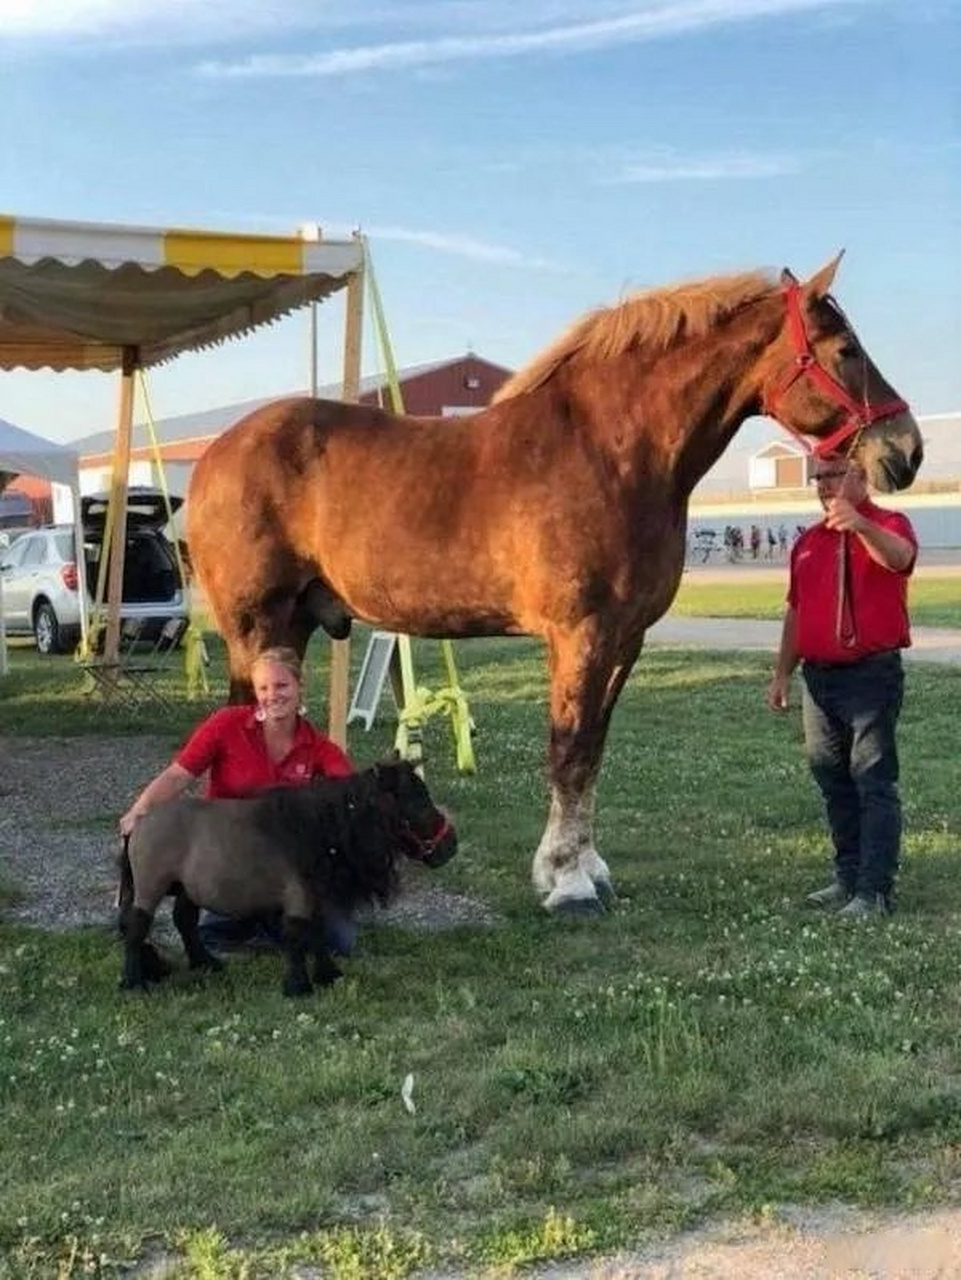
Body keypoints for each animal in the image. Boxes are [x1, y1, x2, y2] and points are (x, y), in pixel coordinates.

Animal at [189, 259, 926, 916]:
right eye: (845, 349)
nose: (906, 451)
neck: (612, 451)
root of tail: (214, 455)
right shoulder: (581, 634)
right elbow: (568, 752)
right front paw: (568, 883)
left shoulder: (625, 638)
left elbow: (592, 750)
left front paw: (585, 868)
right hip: (255, 625)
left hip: (290, 625)